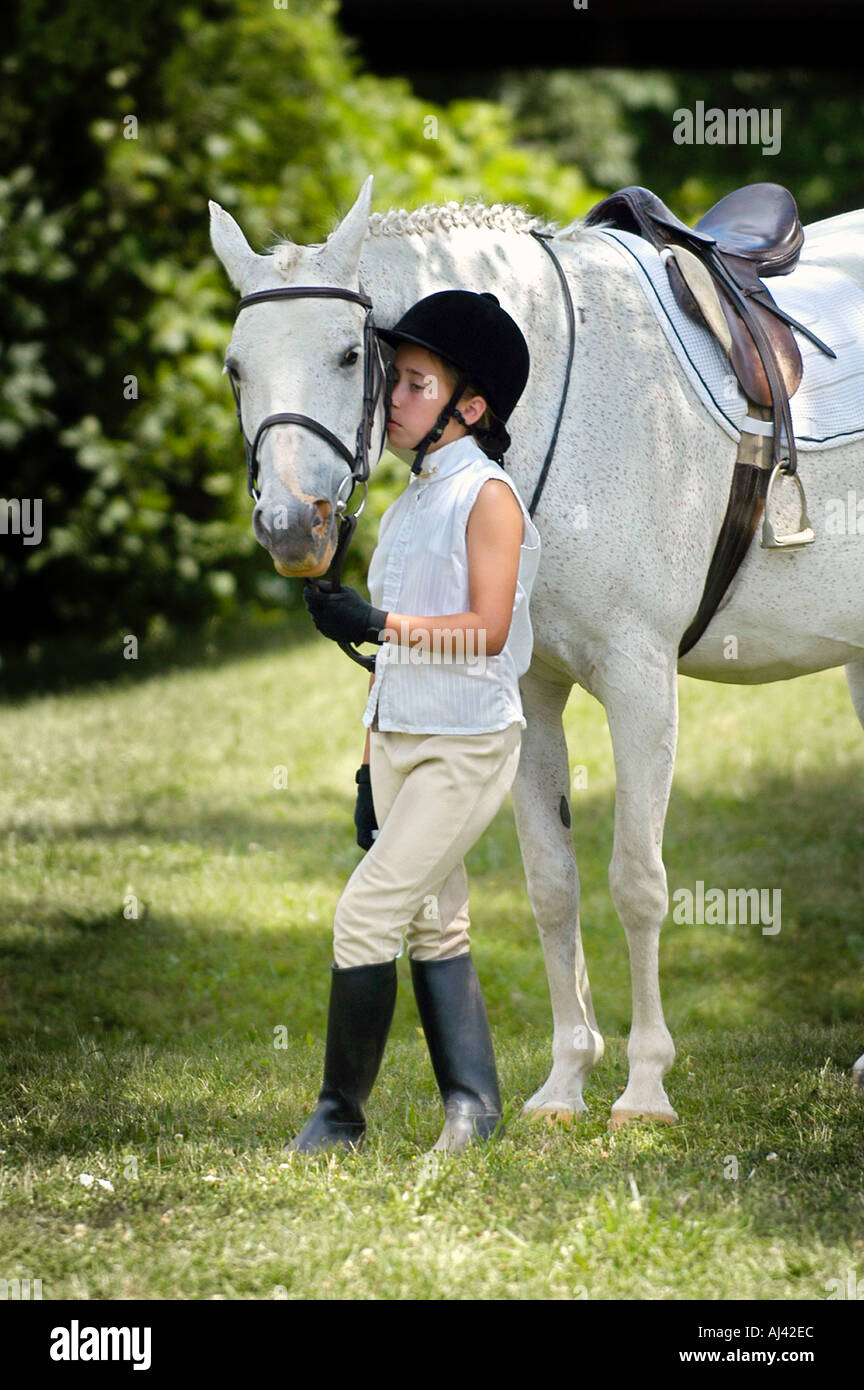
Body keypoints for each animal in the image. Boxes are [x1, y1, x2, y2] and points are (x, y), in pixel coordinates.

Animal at [209, 179, 864, 1123]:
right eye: (236, 368)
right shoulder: (529, 690)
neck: (565, 386)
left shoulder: (639, 680)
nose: (291, 526)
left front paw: (645, 1087)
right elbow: (554, 885)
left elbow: (636, 880)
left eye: (347, 354)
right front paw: (565, 1084)